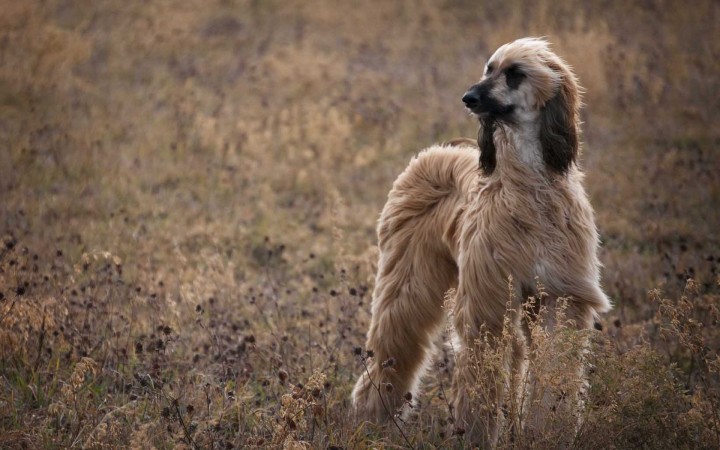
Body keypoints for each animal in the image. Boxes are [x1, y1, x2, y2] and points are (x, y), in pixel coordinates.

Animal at [352, 37, 612, 444]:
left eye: (515, 73)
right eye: (488, 68)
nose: (468, 98)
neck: (528, 188)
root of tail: (439, 149)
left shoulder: (560, 296)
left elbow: (555, 369)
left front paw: (548, 431)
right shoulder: (486, 303)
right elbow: (481, 376)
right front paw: (476, 435)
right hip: (409, 277)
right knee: (394, 339)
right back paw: (371, 419)